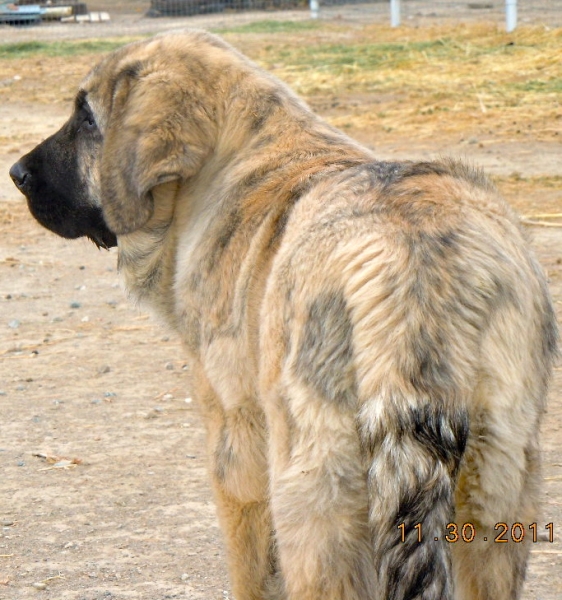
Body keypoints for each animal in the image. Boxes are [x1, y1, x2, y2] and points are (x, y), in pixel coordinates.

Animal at [8, 29, 556, 600]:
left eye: (88, 119)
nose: (16, 173)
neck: (235, 162)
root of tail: (413, 264)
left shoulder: (235, 437)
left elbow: (251, 567)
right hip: (499, 487)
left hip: (313, 490)